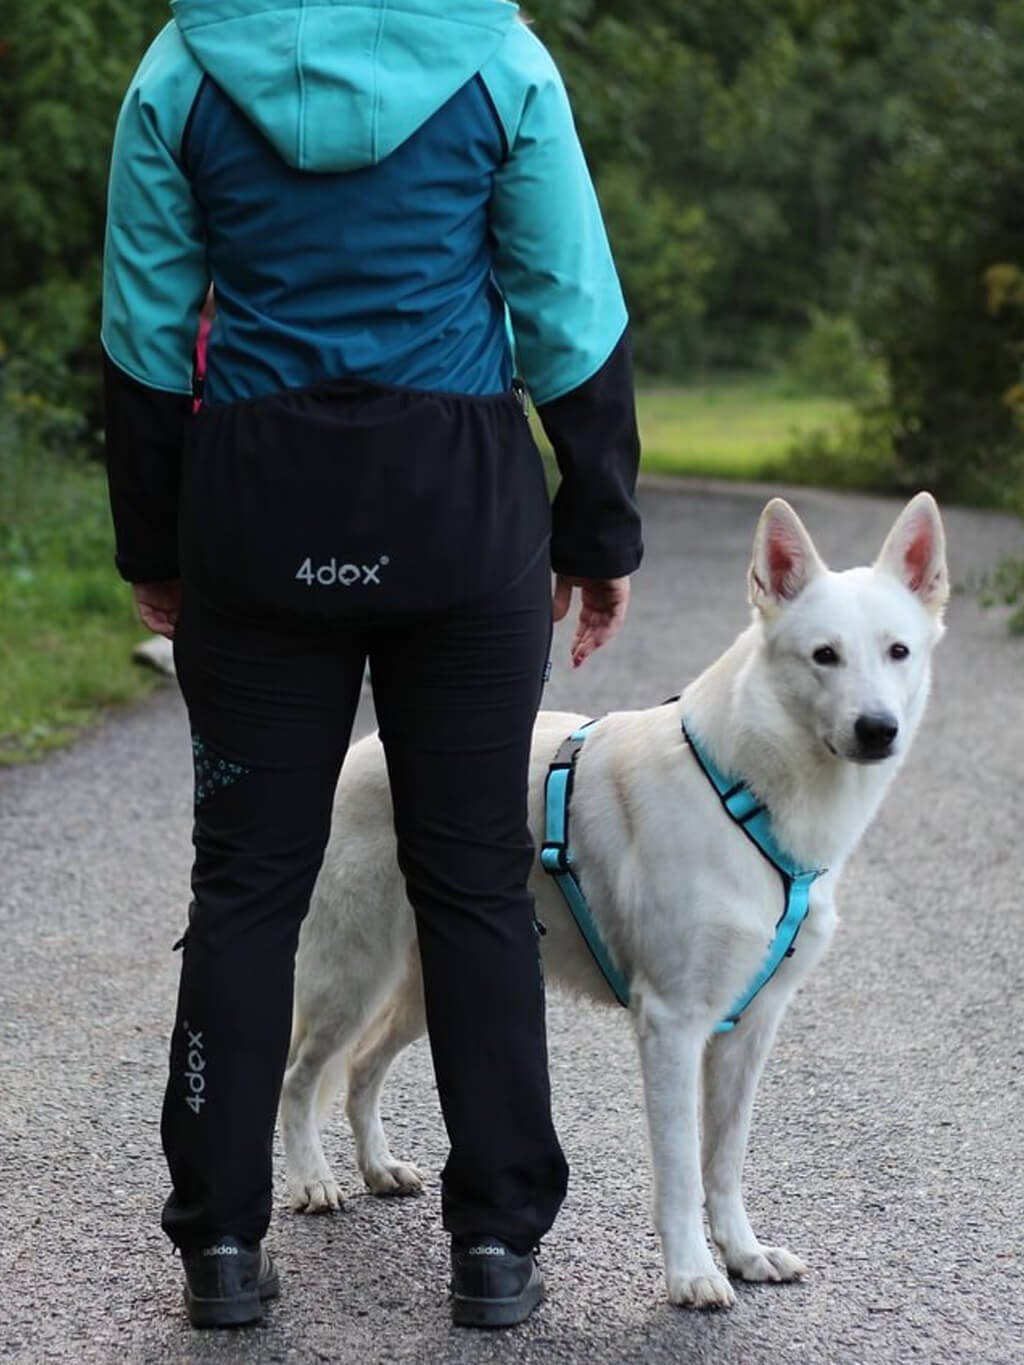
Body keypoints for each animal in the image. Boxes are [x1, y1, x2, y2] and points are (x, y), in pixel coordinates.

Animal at [282, 494, 955, 1310]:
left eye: (898, 651)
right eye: (824, 655)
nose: (878, 730)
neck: (746, 792)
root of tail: (369, 746)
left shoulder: (751, 1028)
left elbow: (725, 1162)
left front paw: (743, 1252)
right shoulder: (672, 1025)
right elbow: (682, 1171)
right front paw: (693, 1273)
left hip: (430, 987)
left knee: (361, 1068)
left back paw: (377, 1166)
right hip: (350, 975)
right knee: (298, 1077)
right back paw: (313, 1179)